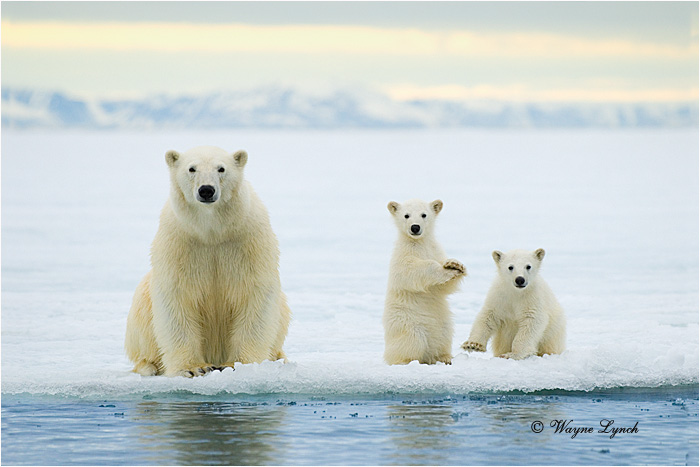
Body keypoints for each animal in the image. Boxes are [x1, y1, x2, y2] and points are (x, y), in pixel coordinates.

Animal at [125, 145, 291, 377]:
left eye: (221, 168)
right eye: (191, 168)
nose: (206, 190)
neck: (212, 231)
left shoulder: (247, 242)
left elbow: (254, 294)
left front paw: (237, 364)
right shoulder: (179, 244)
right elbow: (176, 299)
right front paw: (193, 368)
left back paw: (279, 358)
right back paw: (148, 366)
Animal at [383, 199, 467, 365]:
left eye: (424, 214)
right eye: (406, 215)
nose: (415, 227)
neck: (419, 243)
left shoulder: (435, 250)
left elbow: (444, 288)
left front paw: (455, 265)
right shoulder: (402, 255)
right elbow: (408, 271)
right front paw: (444, 269)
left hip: (442, 323)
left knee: (444, 336)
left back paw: (445, 357)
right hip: (407, 323)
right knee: (412, 341)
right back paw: (406, 361)